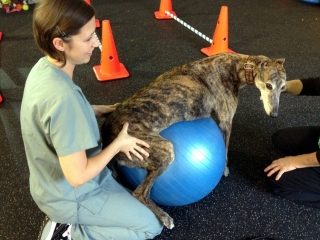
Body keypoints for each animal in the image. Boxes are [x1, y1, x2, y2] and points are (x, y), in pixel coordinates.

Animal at [101, 52, 286, 229]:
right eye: (268, 85)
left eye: (283, 88)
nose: (275, 114)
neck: (237, 66)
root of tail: (106, 134)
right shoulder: (226, 121)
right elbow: (225, 149)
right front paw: (225, 169)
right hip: (161, 148)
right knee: (139, 193)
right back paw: (165, 217)